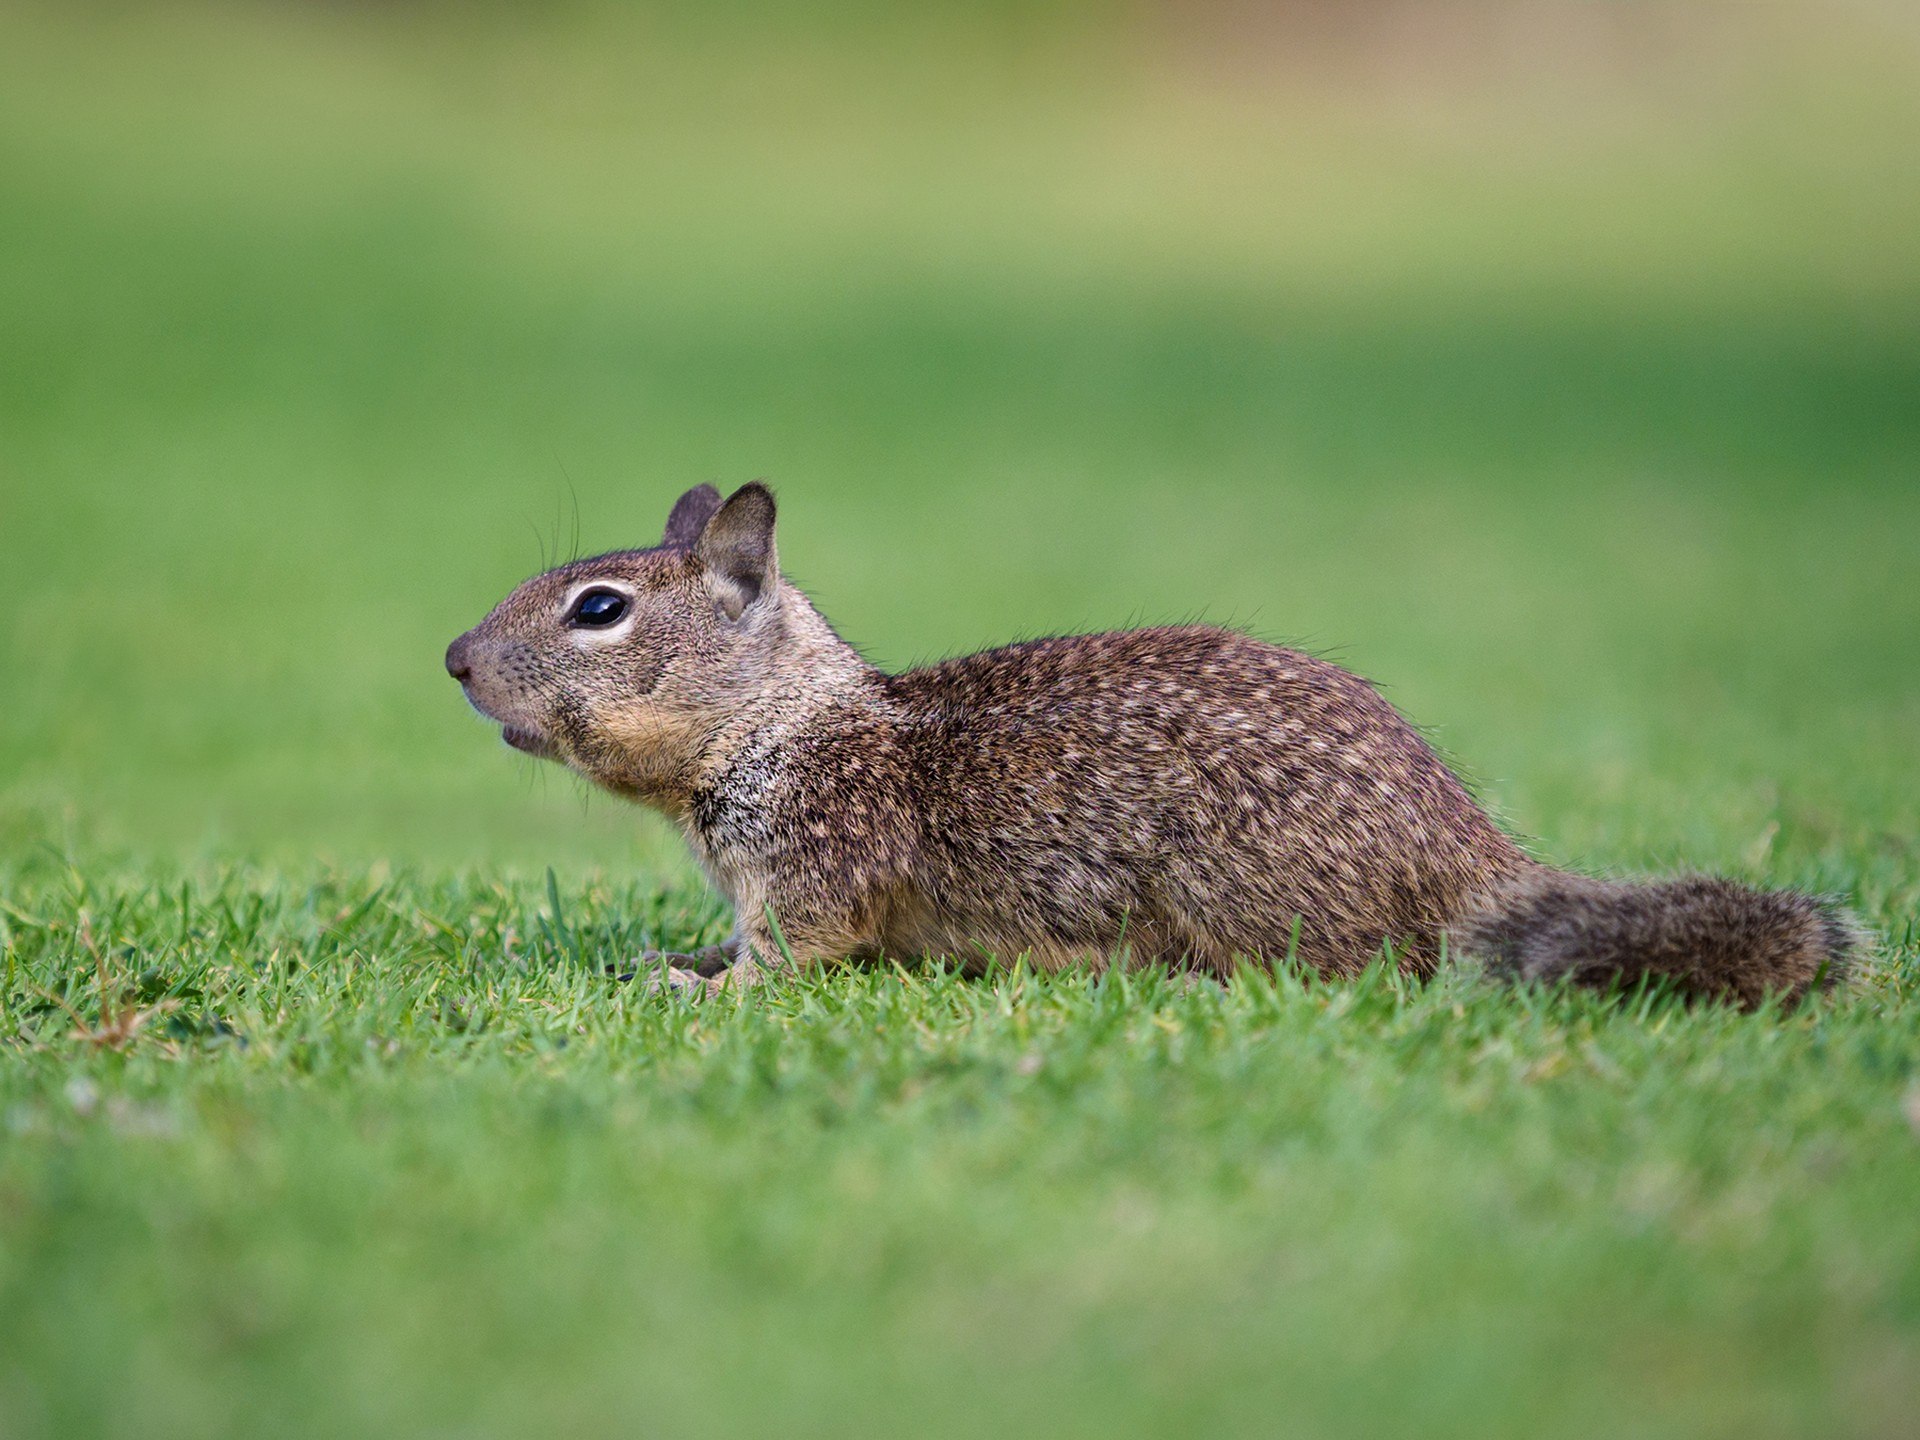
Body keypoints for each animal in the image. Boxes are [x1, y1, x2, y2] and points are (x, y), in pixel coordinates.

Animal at [445, 485, 1858, 1006]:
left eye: (598, 609)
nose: (454, 660)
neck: (780, 724)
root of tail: (1468, 858)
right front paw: (673, 957)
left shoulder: (816, 873)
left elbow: (792, 959)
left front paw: (702, 992)